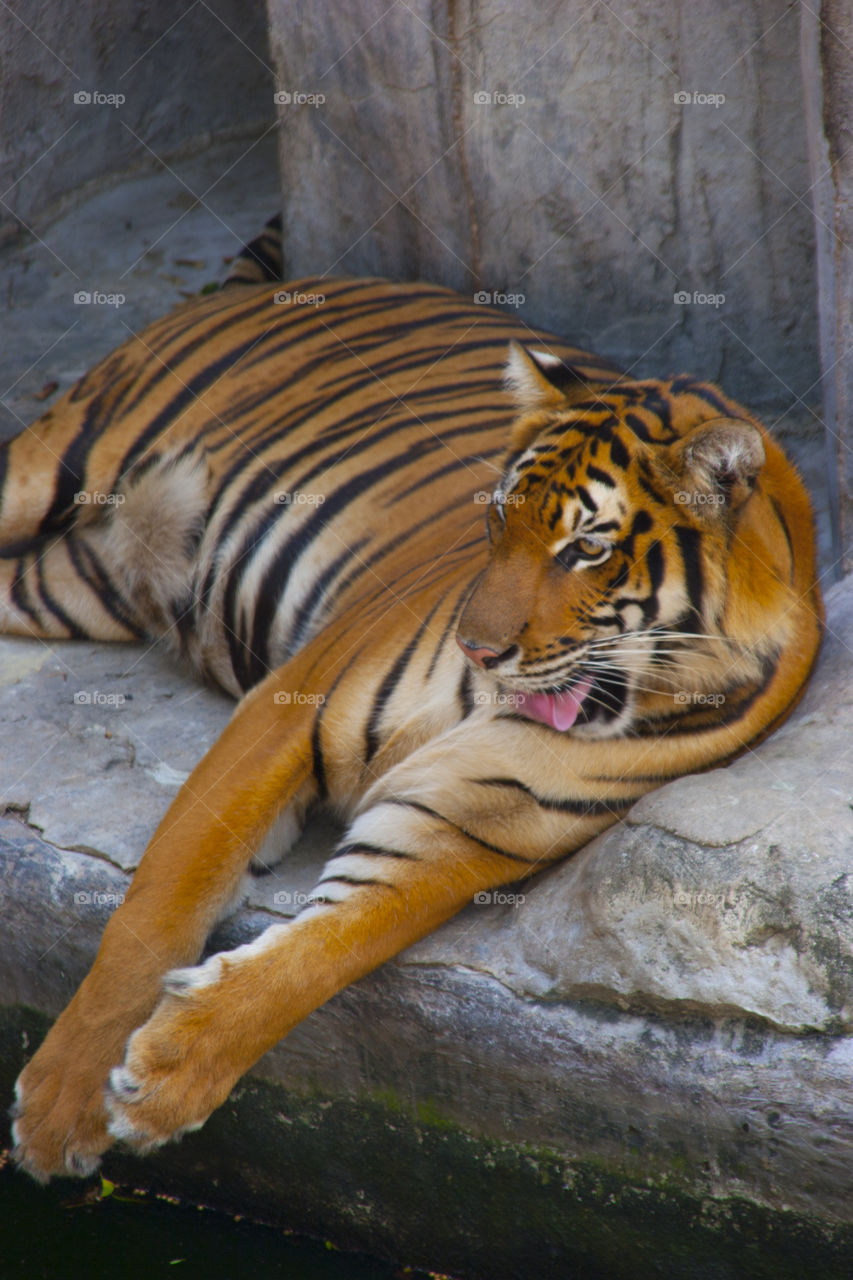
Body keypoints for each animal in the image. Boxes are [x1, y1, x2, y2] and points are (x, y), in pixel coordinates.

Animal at [3, 217, 819, 1177]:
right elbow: (159, 905)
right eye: (498, 518)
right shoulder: (288, 708)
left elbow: (323, 951)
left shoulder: (449, 830)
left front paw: (168, 1074)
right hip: (50, 469)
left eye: (584, 549)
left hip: (64, 587)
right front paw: (62, 1106)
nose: (478, 647)